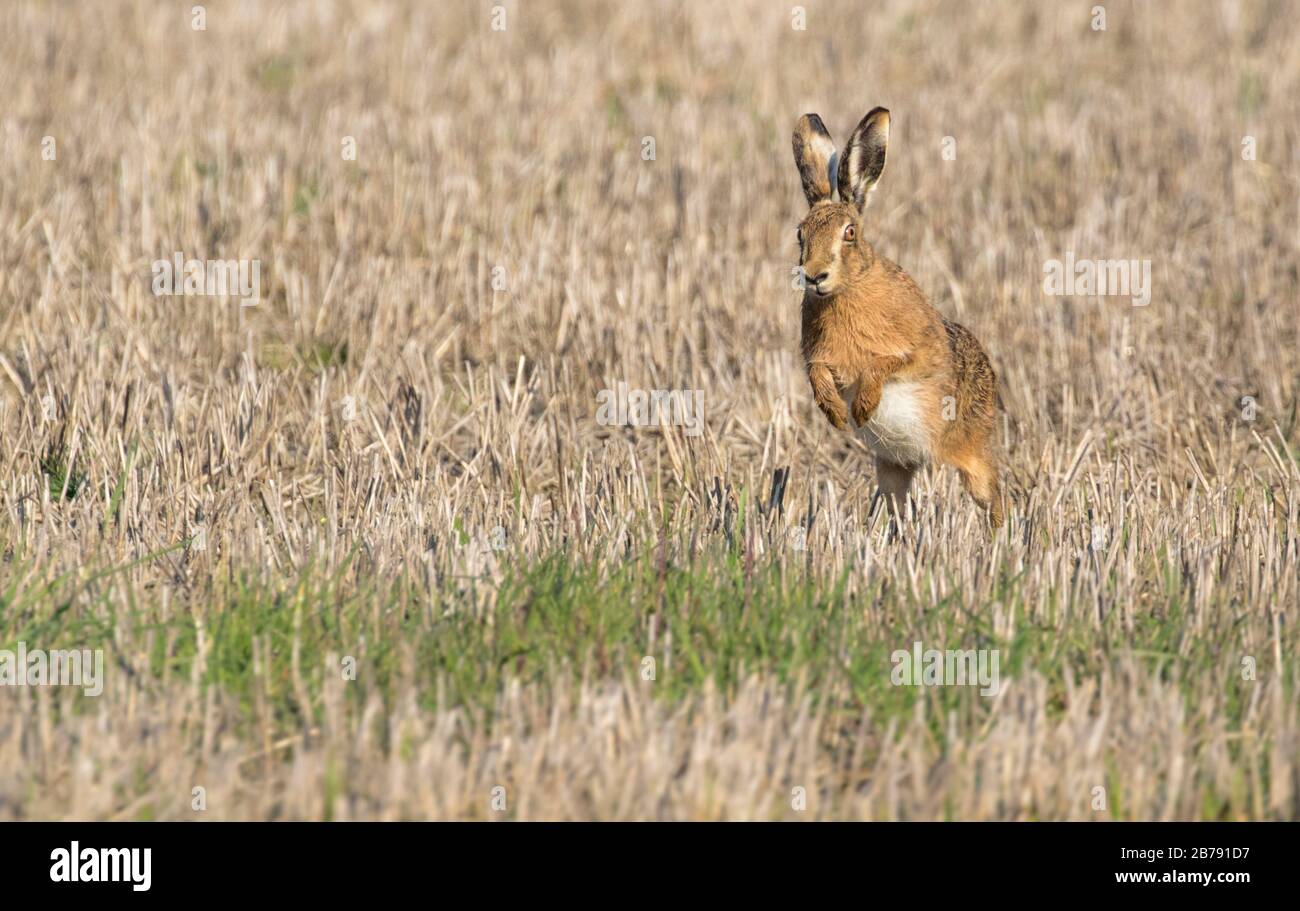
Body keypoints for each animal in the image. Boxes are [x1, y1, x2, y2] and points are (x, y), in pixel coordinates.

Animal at [792, 107, 1004, 528]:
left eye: (850, 233)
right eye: (799, 234)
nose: (814, 276)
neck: (850, 287)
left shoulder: (919, 353)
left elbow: (887, 363)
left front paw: (862, 407)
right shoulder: (820, 360)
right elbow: (818, 373)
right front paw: (836, 414)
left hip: (971, 457)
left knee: (994, 498)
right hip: (891, 469)